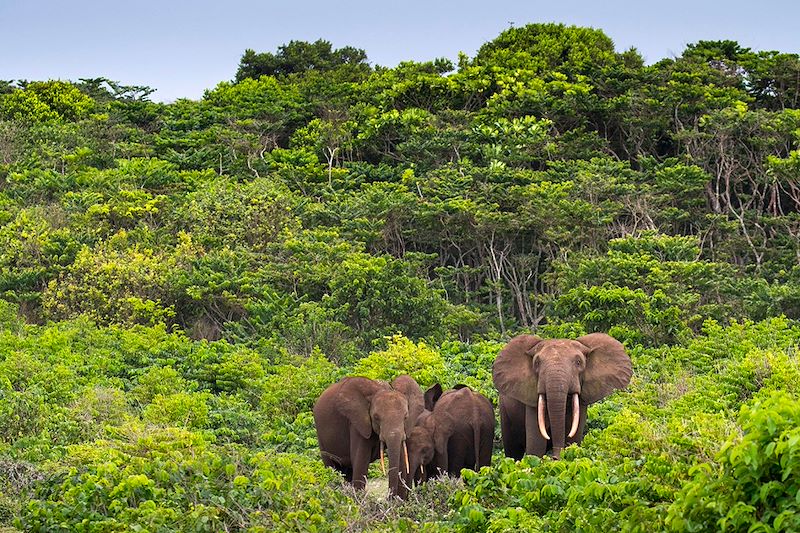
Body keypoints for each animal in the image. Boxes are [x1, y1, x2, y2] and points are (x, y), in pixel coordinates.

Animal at [493, 333, 632, 460]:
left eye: (579, 362)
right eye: (537, 363)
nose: (555, 457)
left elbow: (574, 437)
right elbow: (536, 445)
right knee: (513, 450)